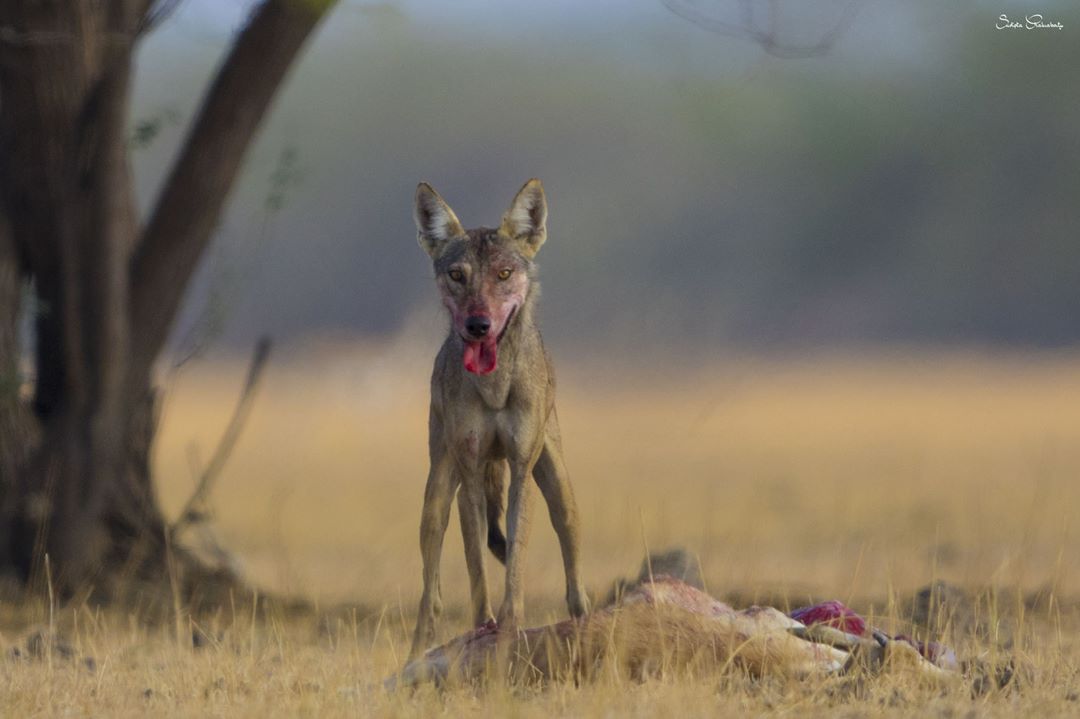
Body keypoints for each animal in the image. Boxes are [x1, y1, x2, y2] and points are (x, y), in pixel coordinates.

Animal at [408, 179, 588, 660]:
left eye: (504, 275)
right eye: (458, 276)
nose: (478, 325)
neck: (494, 388)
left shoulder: (522, 469)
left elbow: (516, 564)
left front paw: (510, 625)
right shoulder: (470, 473)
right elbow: (475, 569)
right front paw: (484, 625)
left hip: (560, 487)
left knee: (574, 579)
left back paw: (586, 622)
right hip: (437, 494)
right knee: (430, 596)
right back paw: (418, 653)